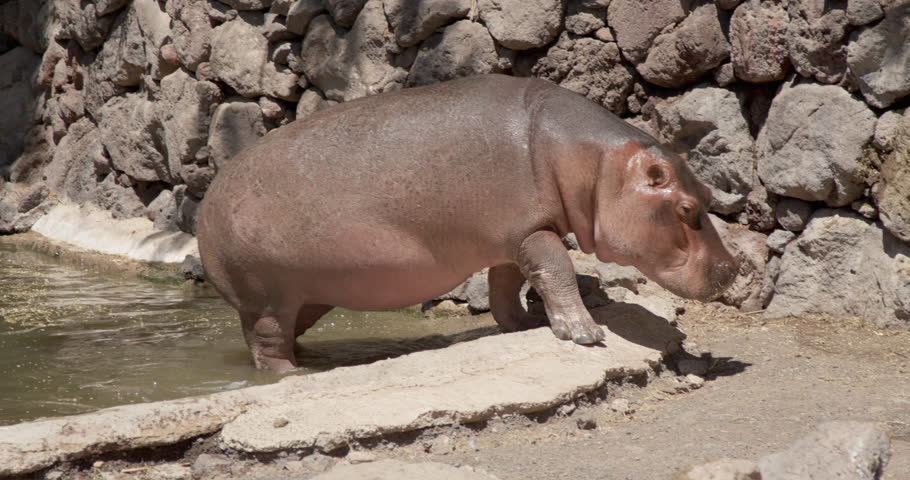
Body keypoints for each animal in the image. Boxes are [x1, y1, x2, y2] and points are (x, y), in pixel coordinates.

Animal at [197, 74, 738, 372]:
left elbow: (509, 286)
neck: (593, 164)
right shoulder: (533, 231)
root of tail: (205, 204)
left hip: (307, 296)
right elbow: (557, 269)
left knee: (285, 333)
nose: (734, 269)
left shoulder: (514, 236)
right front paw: (585, 334)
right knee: (268, 345)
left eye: (709, 195)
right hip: (267, 299)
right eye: (686, 209)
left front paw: (527, 324)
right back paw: (295, 375)